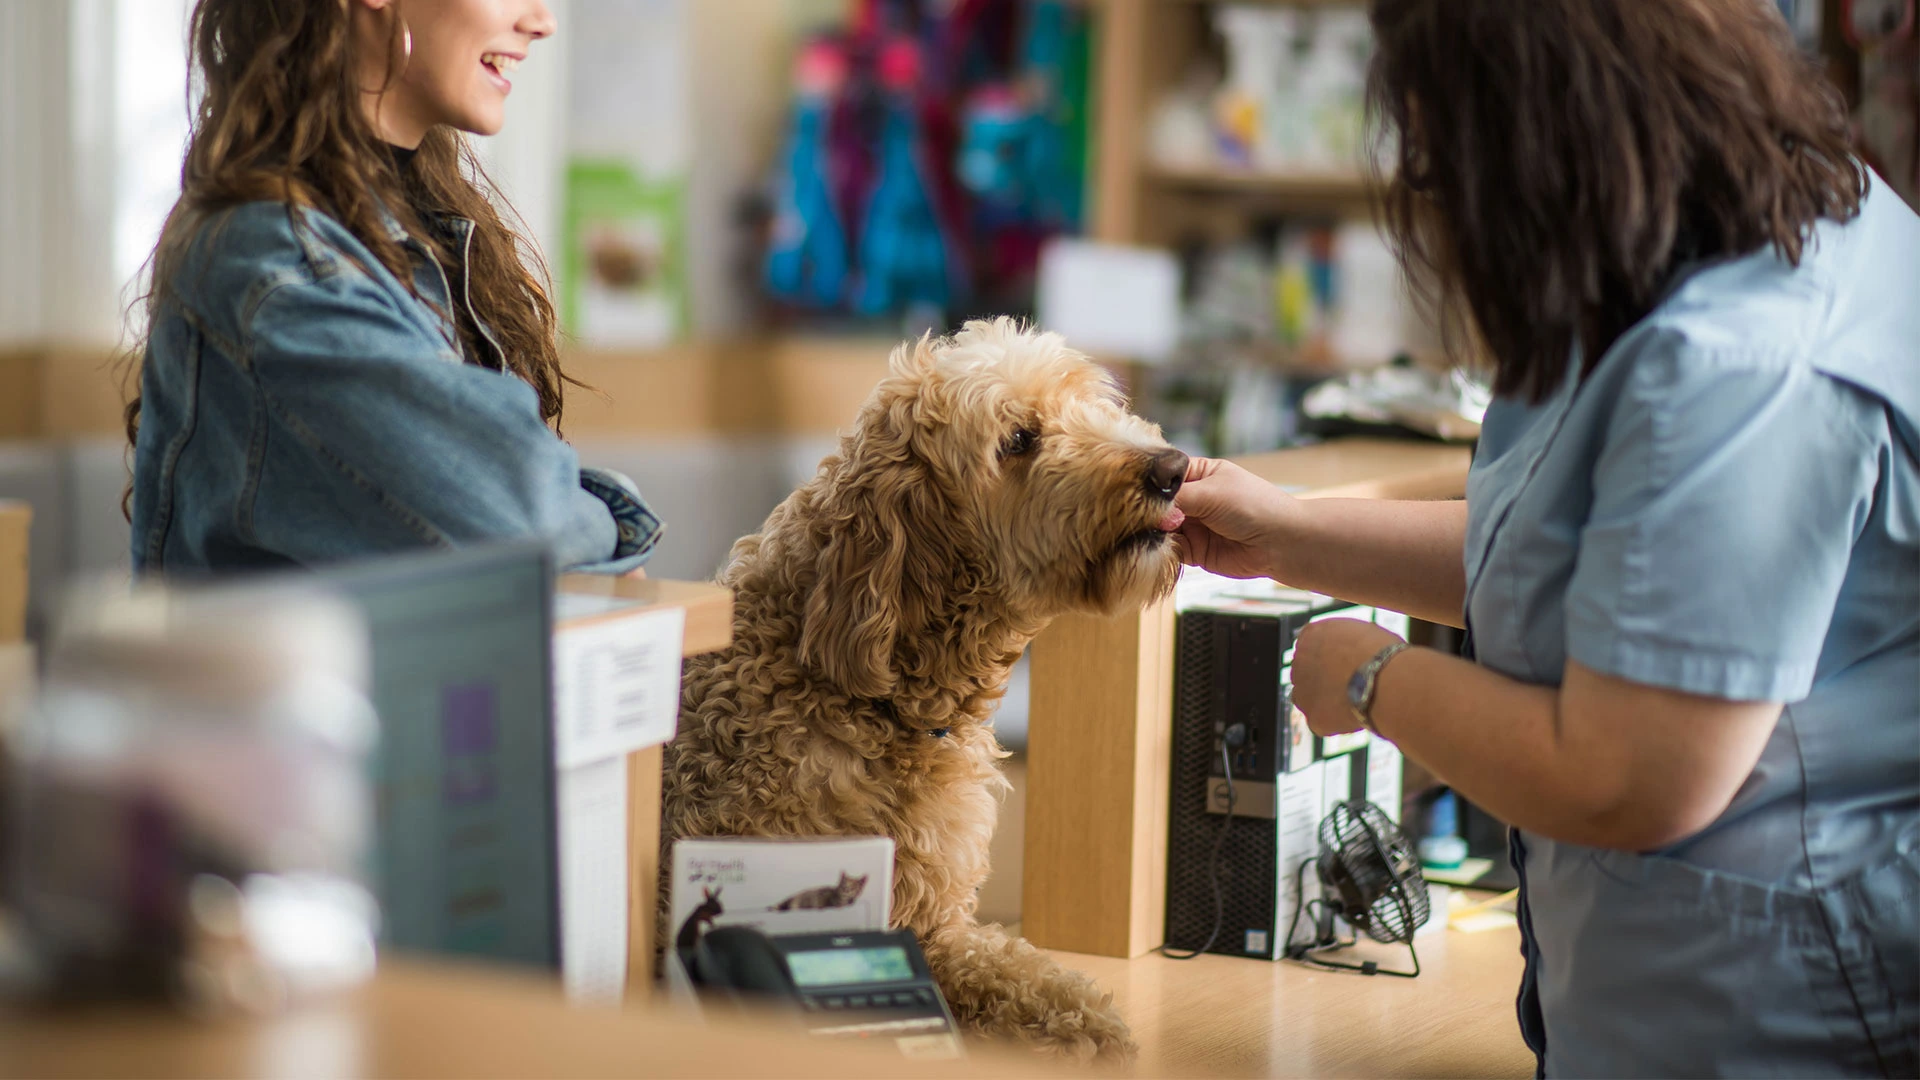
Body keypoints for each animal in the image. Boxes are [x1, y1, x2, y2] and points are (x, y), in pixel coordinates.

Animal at [668, 319, 1190, 1060]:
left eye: (1096, 403)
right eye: (1018, 439)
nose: (1172, 468)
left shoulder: (937, 926)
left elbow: (1016, 973)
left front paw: (1087, 1023)